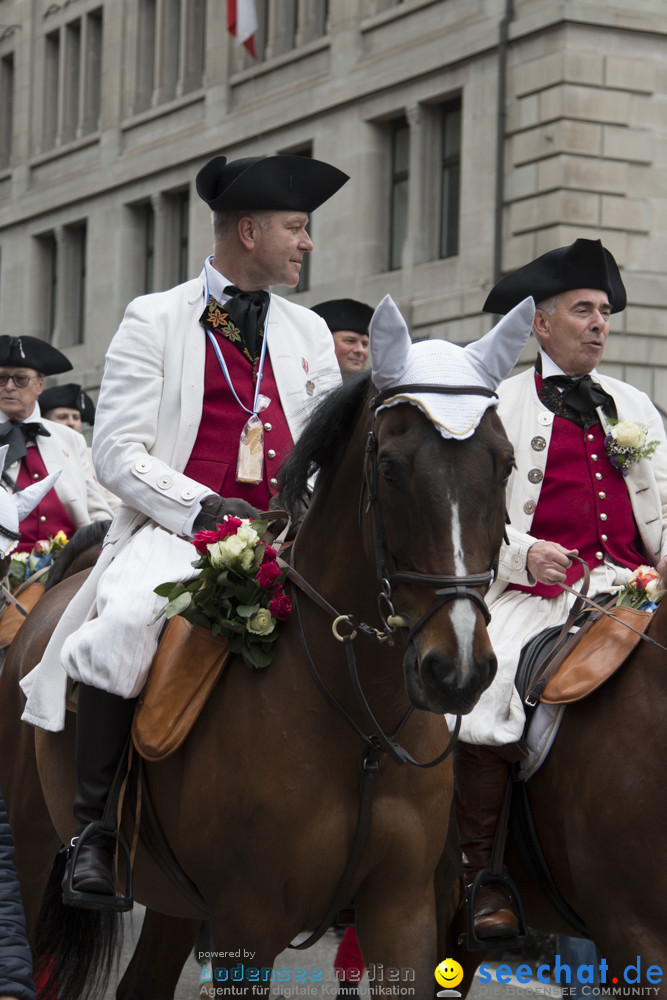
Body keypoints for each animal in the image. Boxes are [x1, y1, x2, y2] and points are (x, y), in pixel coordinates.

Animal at [1, 366, 516, 992]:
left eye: (506, 464)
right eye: (391, 468)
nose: (458, 668)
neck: (361, 727)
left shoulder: (402, 908)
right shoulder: (247, 921)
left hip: (176, 899)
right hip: (27, 845)